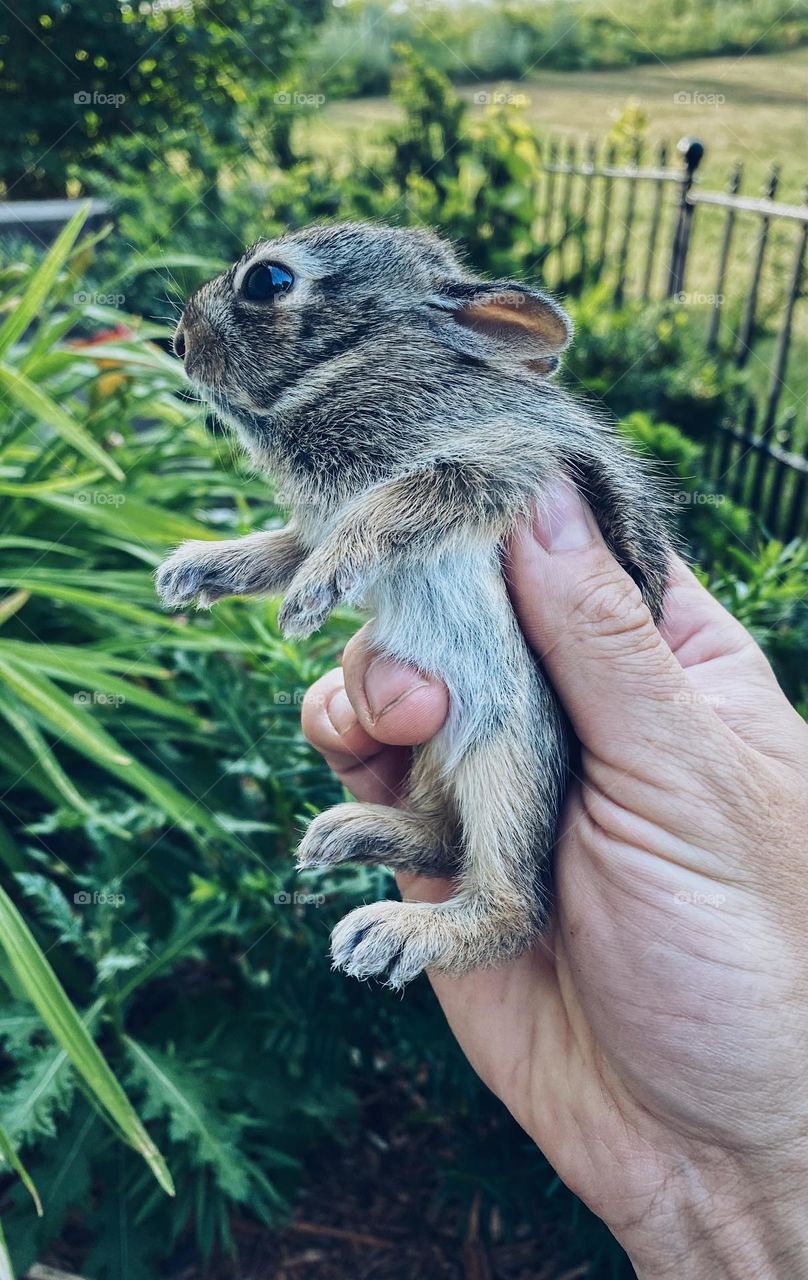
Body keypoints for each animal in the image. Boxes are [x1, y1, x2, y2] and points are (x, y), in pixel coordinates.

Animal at [156, 222, 670, 988]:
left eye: (269, 282)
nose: (179, 341)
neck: (361, 365)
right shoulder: (321, 522)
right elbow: (283, 549)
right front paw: (193, 571)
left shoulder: (505, 463)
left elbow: (397, 504)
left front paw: (308, 598)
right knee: (443, 838)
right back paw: (349, 832)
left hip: (513, 749)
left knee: (515, 906)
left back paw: (397, 932)